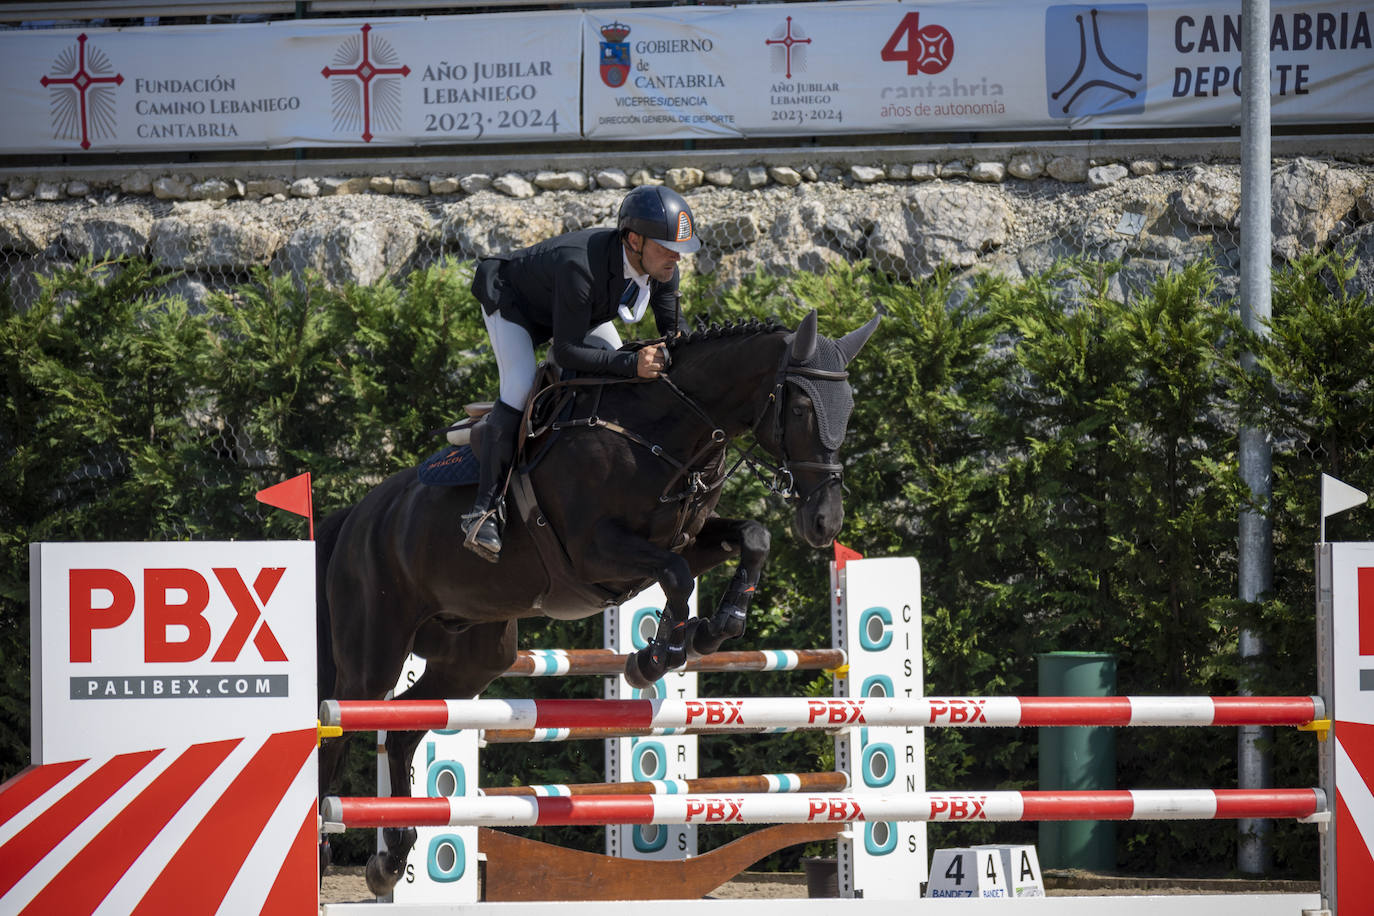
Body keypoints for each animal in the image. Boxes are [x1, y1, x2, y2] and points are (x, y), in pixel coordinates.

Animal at [318, 310, 879, 895]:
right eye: (800, 407)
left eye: (849, 407)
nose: (825, 523)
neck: (664, 432)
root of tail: (359, 513)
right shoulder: (595, 553)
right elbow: (676, 575)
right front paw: (657, 657)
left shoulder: (681, 539)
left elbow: (751, 537)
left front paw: (713, 628)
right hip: (373, 655)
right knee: (337, 729)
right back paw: (323, 850)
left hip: (472, 658)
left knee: (404, 731)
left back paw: (391, 859)